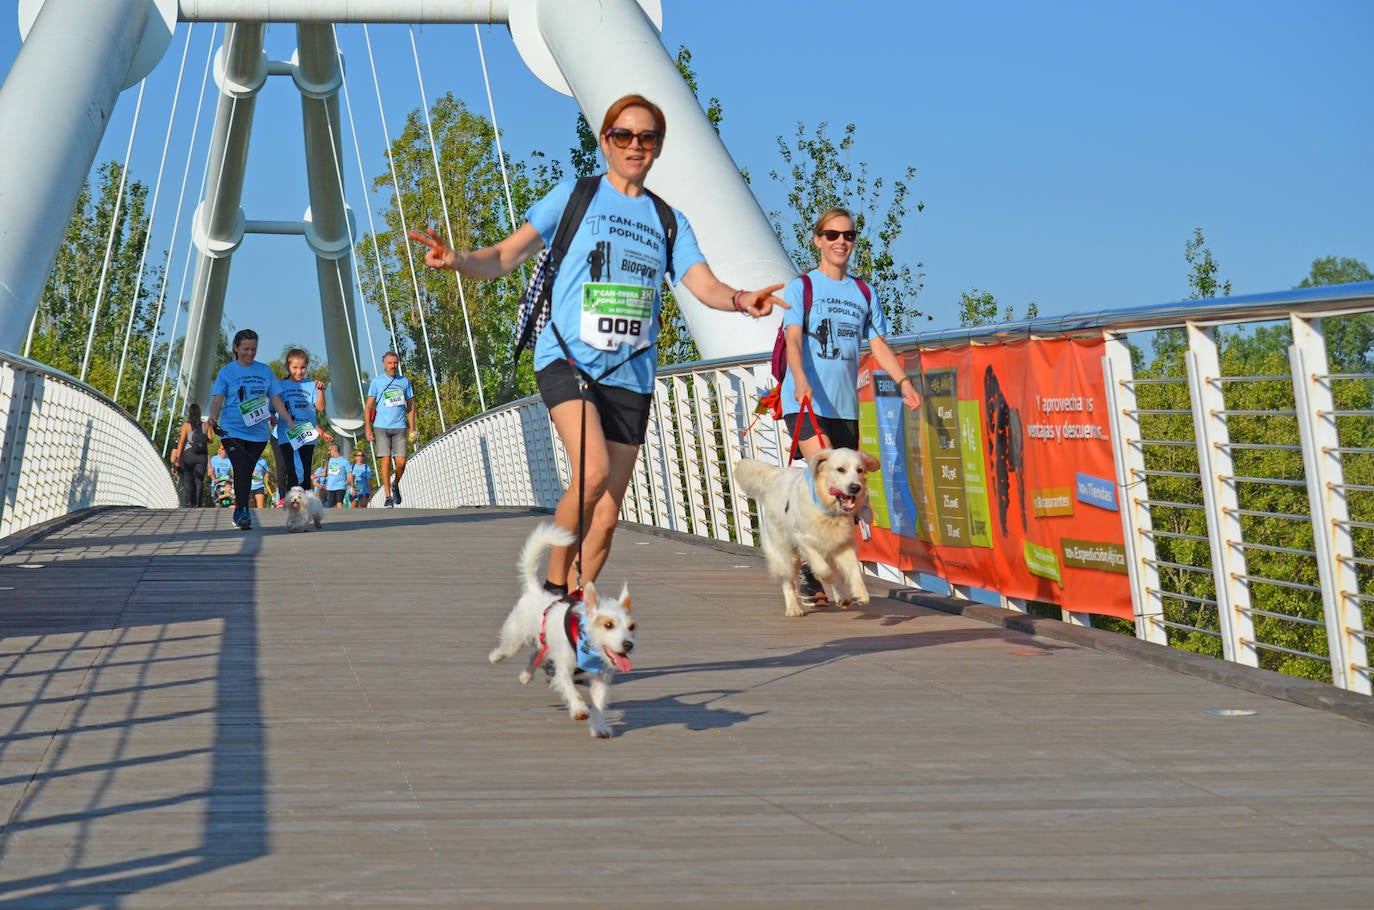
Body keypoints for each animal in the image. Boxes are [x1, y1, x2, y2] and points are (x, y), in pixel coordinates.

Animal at [491, 519, 634, 742]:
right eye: (608, 625)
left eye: (631, 627)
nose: (628, 644)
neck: (585, 644)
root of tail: (535, 591)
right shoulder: (564, 669)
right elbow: (570, 689)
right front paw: (579, 709)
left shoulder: (600, 679)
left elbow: (598, 704)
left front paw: (599, 726)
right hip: (515, 638)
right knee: (508, 649)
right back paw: (495, 657)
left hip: (545, 643)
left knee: (536, 654)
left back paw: (526, 675)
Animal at [736, 448, 873, 621]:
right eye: (840, 469)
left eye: (860, 470)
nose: (856, 487)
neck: (829, 511)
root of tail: (776, 474)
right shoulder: (804, 542)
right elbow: (823, 569)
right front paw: (827, 578)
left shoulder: (843, 544)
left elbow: (854, 569)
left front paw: (861, 593)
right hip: (785, 553)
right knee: (788, 582)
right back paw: (793, 608)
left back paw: (842, 596)